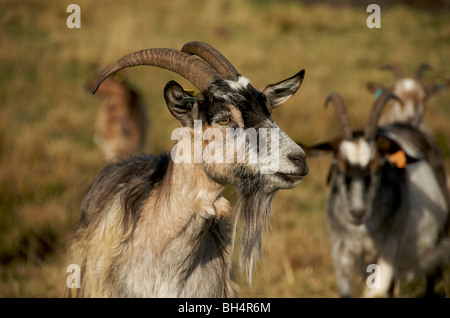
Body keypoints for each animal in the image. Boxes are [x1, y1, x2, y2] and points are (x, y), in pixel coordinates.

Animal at [310, 91, 450, 298]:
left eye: (379, 165)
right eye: (337, 165)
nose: (357, 212)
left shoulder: (391, 243)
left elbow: (377, 292)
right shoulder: (341, 247)